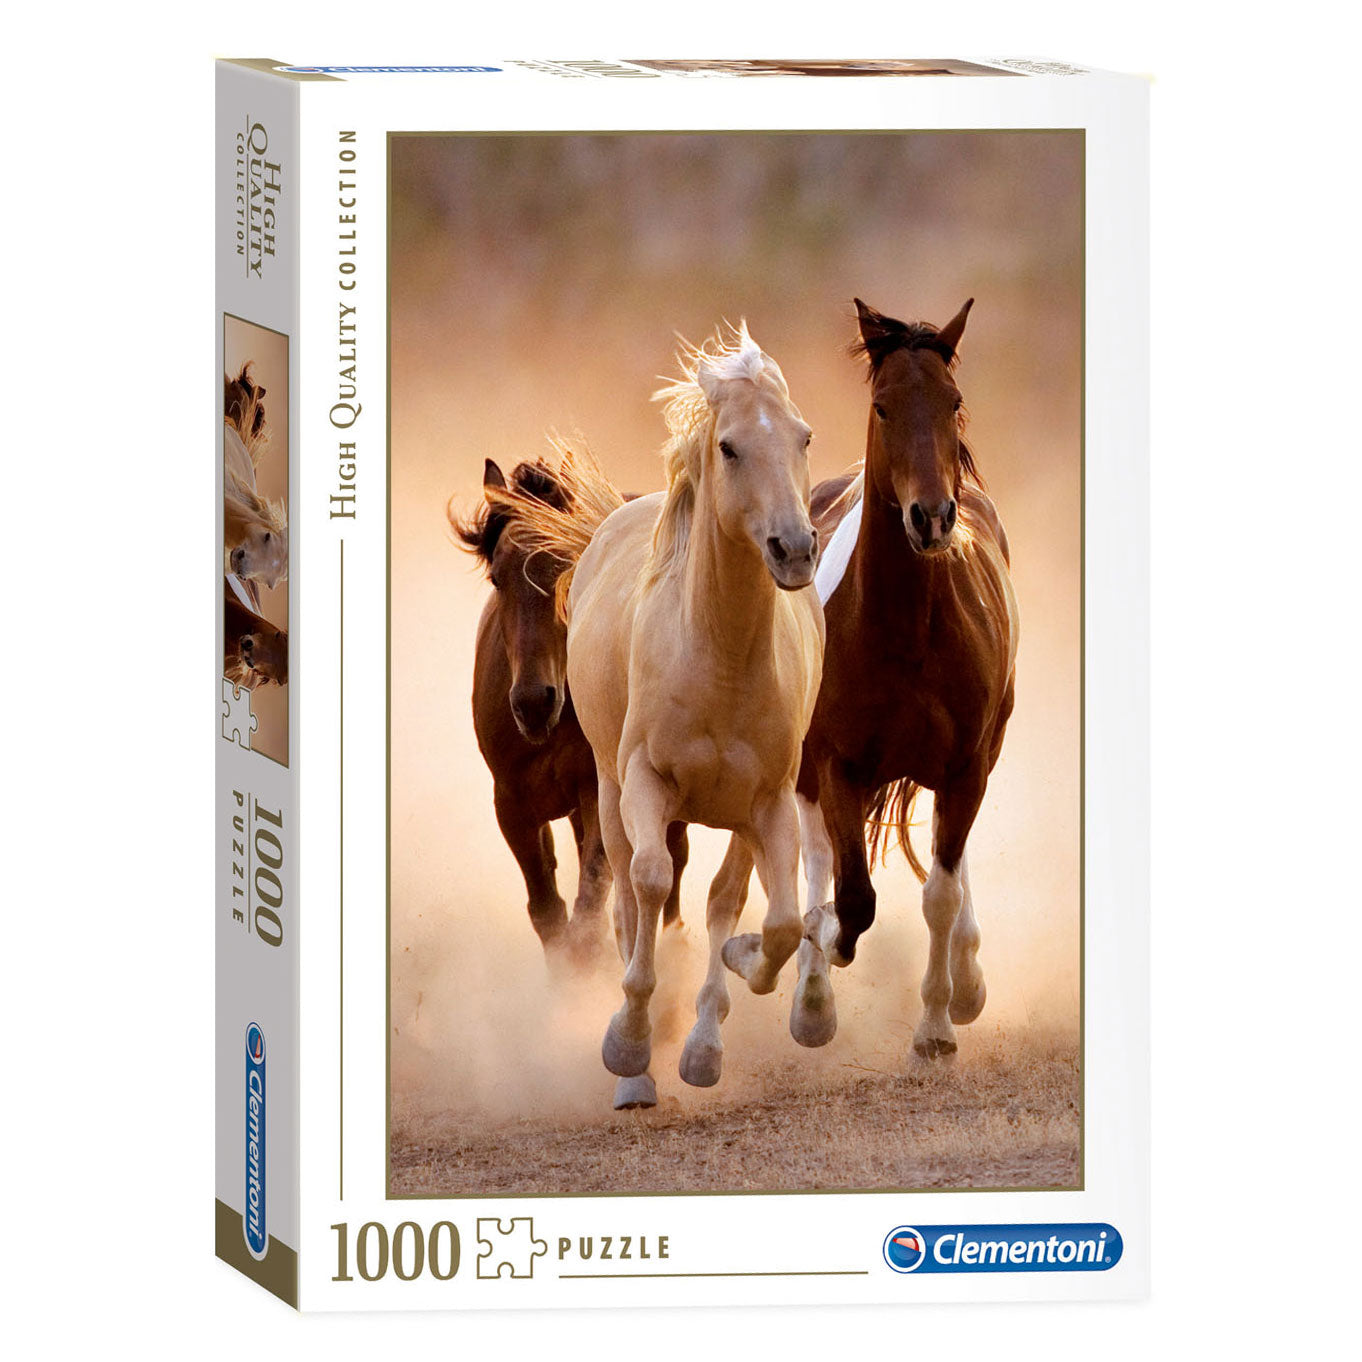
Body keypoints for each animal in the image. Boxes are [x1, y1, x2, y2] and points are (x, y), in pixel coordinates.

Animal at [451, 450, 690, 972]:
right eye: (497, 577)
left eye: (569, 568)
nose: (533, 703)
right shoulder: (512, 804)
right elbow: (548, 912)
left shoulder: (598, 791)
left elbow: (589, 907)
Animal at [560, 324, 824, 1108]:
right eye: (730, 447)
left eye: (803, 436)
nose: (795, 550)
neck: (720, 656)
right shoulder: (645, 782)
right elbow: (648, 883)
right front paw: (628, 1042)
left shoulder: (768, 803)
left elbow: (770, 920)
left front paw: (727, 996)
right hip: (610, 790)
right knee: (628, 894)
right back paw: (637, 1072)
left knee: (722, 899)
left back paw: (701, 1040)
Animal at [716, 298, 1019, 1063]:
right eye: (883, 406)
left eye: (953, 400)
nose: (932, 517)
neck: (908, 631)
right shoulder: (836, 764)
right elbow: (851, 898)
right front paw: (806, 958)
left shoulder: (967, 765)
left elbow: (939, 891)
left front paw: (938, 1025)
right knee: (823, 858)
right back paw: (811, 997)